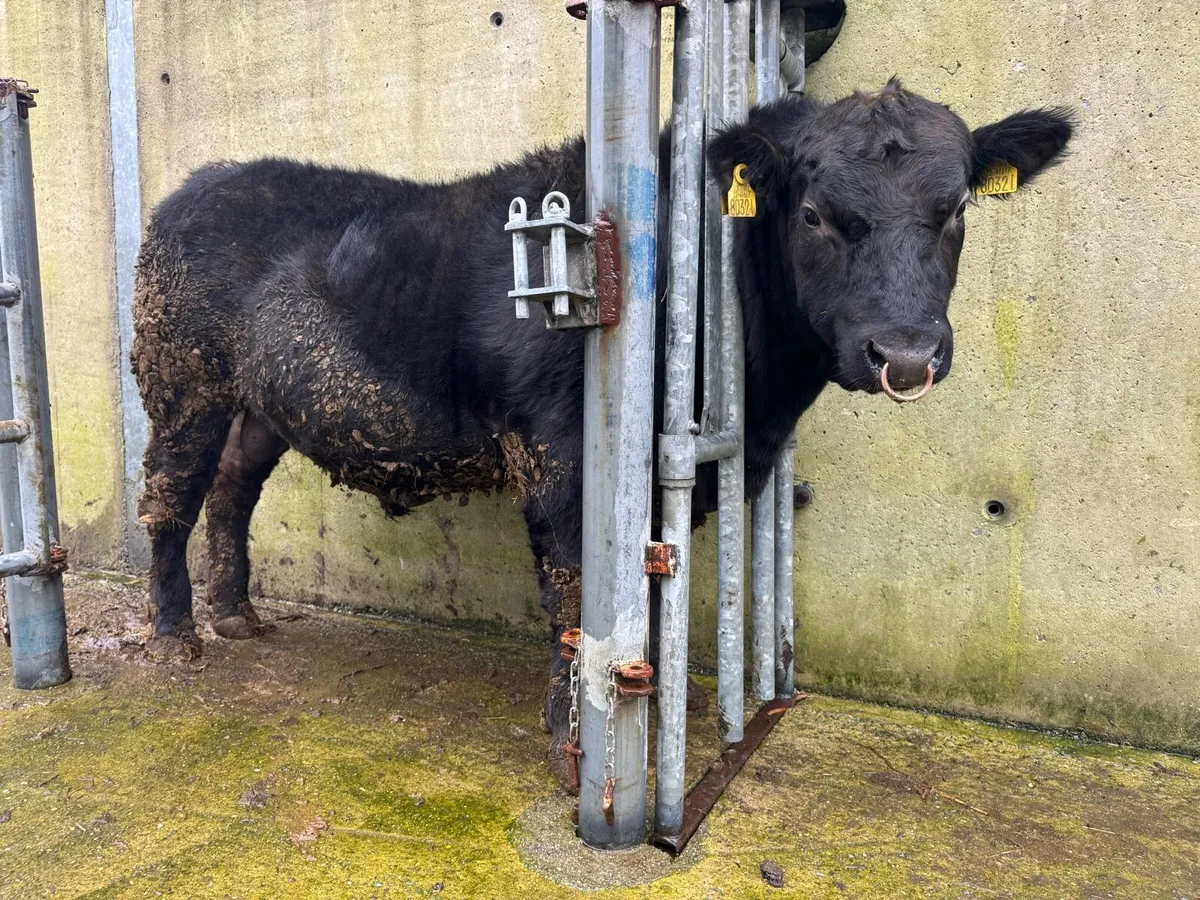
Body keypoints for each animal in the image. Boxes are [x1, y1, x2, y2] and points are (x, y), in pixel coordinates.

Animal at [131, 79, 1072, 787]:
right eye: (813, 214)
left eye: (957, 209)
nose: (904, 353)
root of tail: (203, 181)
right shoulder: (561, 459)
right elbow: (581, 594)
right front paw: (579, 750)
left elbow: (642, 594)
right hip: (181, 379)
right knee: (170, 496)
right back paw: (178, 636)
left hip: (259, 406)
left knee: (232, 491)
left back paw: (237, 615)